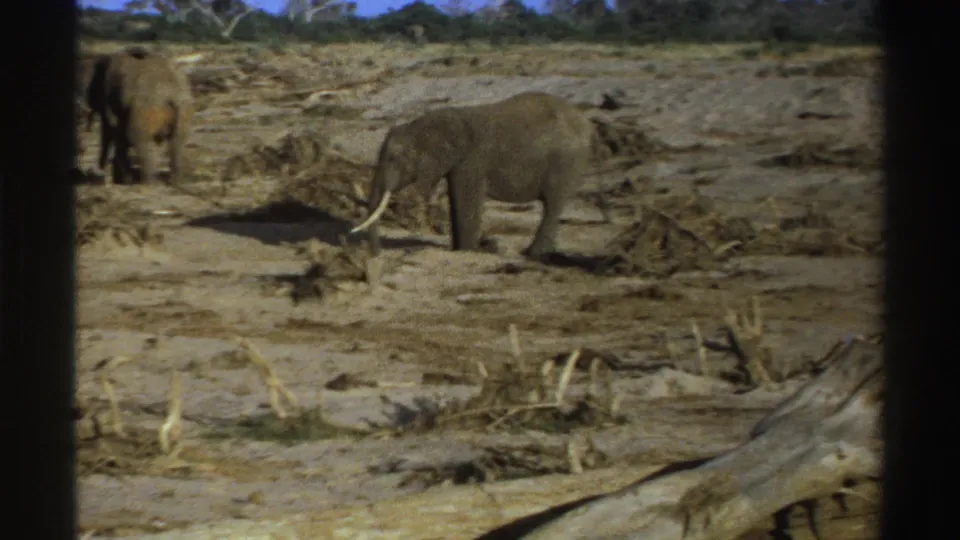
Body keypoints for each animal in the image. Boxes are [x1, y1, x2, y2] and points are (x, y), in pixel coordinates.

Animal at [350, 91, 596, 259]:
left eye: (393, 158)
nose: (376, 254)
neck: (421, 124)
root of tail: (585, 122)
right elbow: (456, 200)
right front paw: (460, 250)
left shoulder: (472, 160)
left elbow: (467, 200)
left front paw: (469, 250)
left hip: (567, 162)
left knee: (553, 205)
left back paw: (532, 254)